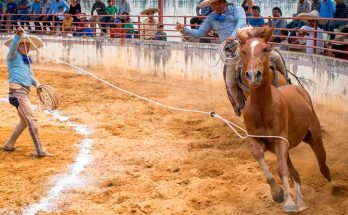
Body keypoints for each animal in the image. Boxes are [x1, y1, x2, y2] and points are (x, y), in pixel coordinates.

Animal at [238, 26, 330, 212]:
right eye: (243, 51)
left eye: (265, 49)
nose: (253, 75)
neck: (263, 108)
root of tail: (299, 90)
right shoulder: (257, 140)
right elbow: (260, 157)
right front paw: (277, 193)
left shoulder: (281, 141)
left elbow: (282, 170)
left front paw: (288, 202)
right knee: (295, 173)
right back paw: (300, 202)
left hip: (314, 137)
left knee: (322, 164)